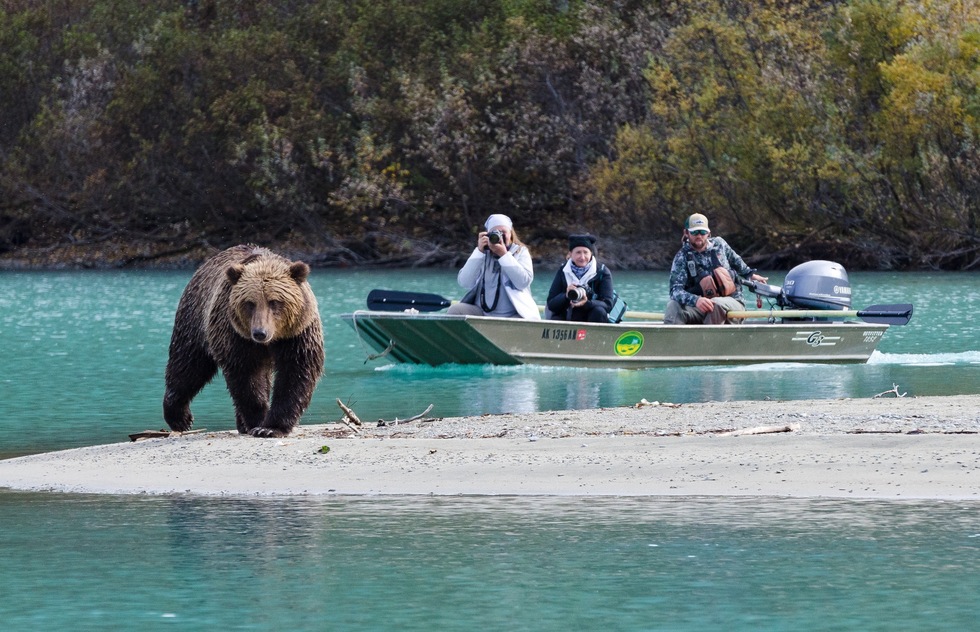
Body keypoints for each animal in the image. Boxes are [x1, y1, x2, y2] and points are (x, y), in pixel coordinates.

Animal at [164, 244, 326, 436]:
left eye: (274, 302)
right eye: (250, 303)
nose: (260, 333)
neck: (272, 340)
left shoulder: (297, 334)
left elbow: (295, 372)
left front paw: (270, 428)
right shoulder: (235, 335)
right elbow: (246, 375)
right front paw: (257, 420)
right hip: (195, 319)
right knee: (188, 364)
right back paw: (179, 417)